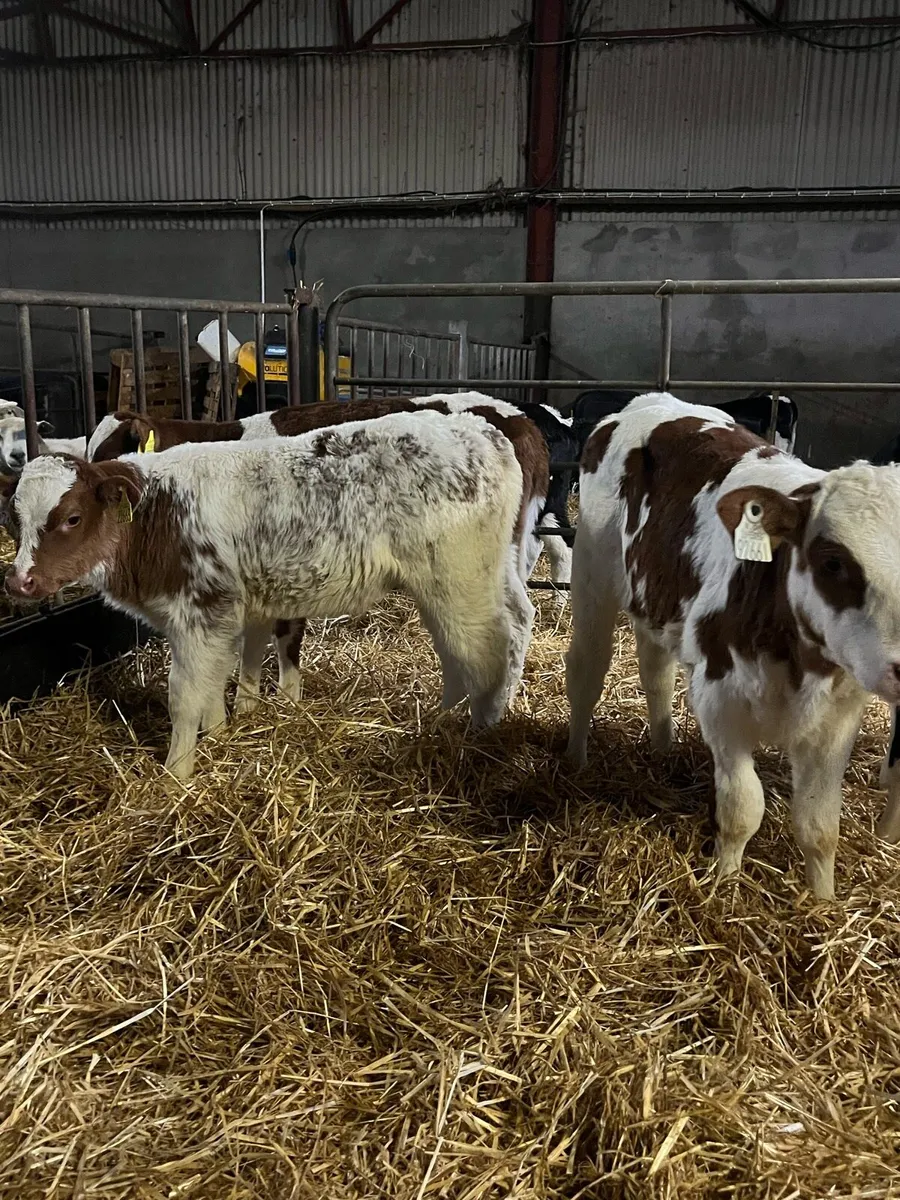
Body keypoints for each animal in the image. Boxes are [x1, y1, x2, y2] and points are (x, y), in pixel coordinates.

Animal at [4, 410, 534, 780]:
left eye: (72, 518)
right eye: (16, 518)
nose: (19, 582)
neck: (157, 513)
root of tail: (480, 429)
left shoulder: (204, 607)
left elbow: (185, 695)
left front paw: (176, 774)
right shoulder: (213, 614)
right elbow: (216, 682)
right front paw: (221, 733)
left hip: (458, 578)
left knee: (488, 648)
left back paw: (480, 732)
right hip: (474, 576)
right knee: (487, 636)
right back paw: (449, 716)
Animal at [565, 391, 900, 900]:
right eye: (833, 562)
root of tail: (650, 400)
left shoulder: (837, 718)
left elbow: (820, 823)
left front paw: (822, 902)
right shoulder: (720, 699)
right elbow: (744, 807)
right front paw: (725, 885)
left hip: (655, 597)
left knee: (655, 671)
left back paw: (662, 747)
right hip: (592, 571)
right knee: (587, 670)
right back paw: (577, 760)